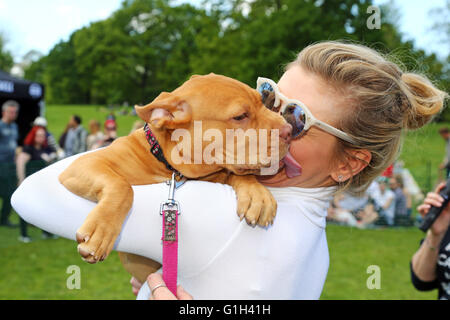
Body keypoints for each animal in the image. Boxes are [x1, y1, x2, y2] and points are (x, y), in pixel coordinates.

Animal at [58, 73, 292, 282]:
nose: (289, 130)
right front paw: (101, 231)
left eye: (263, 103)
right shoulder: (84, 164)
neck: (166, 163)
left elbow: (236, 173)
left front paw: (256, 193)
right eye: (240, 116)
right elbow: (122, 186)